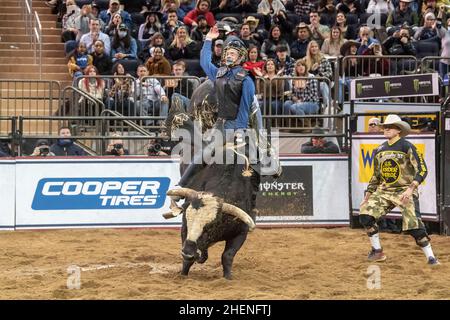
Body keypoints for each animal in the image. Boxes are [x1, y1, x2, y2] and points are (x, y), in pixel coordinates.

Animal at [163, 80, 260, 280]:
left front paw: (228, 278)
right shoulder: (184, 229)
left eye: (209, 227)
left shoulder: (242, 231)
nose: (188, 252)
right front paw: (183, 273)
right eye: (189, 220)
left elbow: (227, 255)